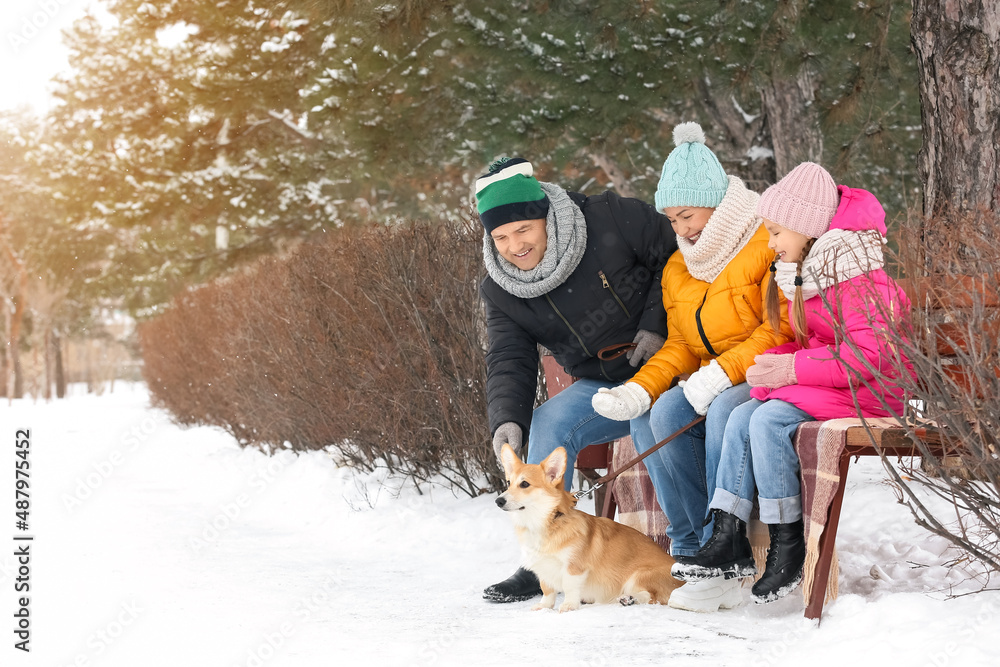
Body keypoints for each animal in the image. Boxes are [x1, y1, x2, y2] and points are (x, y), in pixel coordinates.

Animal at [494, 446, 680, 612]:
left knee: (653, 597)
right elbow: (547, 590)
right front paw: (544, 606)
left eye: (525, 484)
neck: (547, 522)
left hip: (639, 575)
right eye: (509, 483)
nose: (498, 501)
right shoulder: (544, 568)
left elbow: (569, 586)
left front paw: (569, 605)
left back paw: (630, 599)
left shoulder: (574, 567)